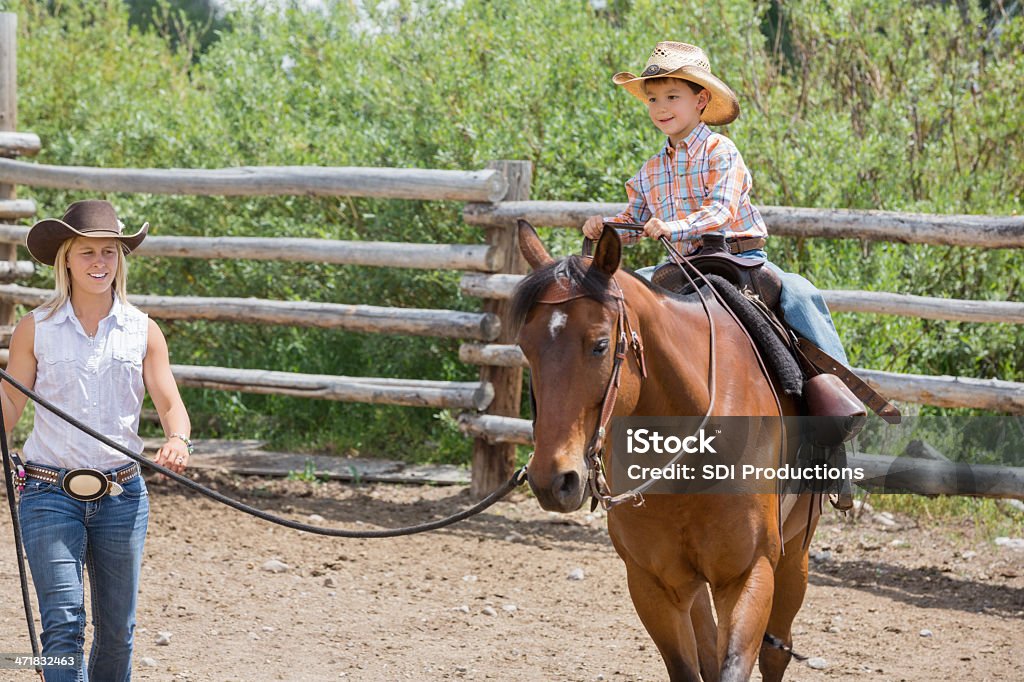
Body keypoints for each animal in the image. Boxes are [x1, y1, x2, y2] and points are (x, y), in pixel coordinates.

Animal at [512, 220, 823, 675]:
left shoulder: (750, 572)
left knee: (775, 650)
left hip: (795, 552)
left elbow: (735, 663)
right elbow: (690, 665)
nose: (554, 480)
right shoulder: (651, 582)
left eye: (600, 345)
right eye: (525, 348)